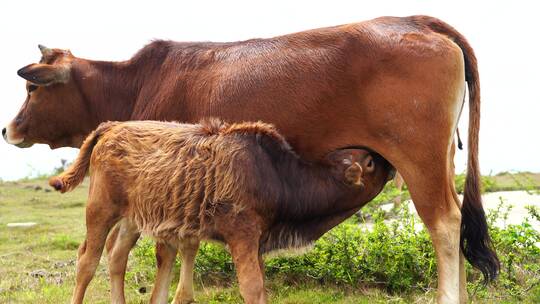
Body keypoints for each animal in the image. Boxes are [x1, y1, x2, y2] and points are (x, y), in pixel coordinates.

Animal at [50, 120, 390, 302]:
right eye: (369, 163)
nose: (386, 160)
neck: (276, 174)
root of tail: (112, 126)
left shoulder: (257, 243)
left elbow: (261, 286)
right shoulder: (242, 235)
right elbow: (252, 288)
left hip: (133, 219)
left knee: (117, 256)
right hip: (100, 210)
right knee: (87, 261)